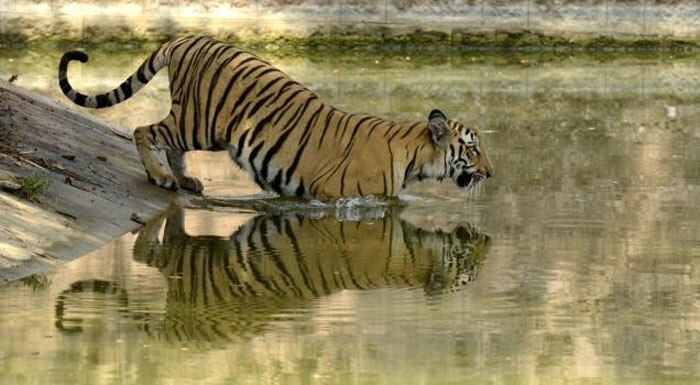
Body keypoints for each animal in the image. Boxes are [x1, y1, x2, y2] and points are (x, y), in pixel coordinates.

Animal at [58, 34, 492, 200]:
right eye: (472, 149)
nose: (491, 174)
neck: (416, 159)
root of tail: (188, 37)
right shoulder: (332, 197)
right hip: (198, 122)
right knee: (143, 129)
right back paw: (161, 177)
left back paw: (186, 181)